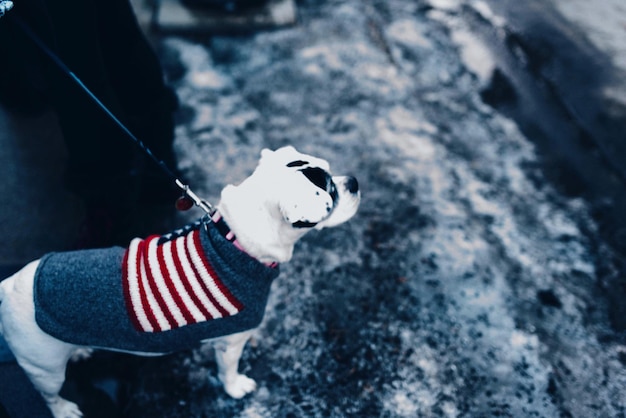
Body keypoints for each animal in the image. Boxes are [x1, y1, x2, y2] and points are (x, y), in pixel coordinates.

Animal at [0, 147, 358, 418]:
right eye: (330, 191)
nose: (353, 181)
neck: (235, 241)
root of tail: (10, 285)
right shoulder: (231, 343)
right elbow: (228, 371)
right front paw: (236, 388)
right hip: (44, 369)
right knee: (49, 395)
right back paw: (63, 409)